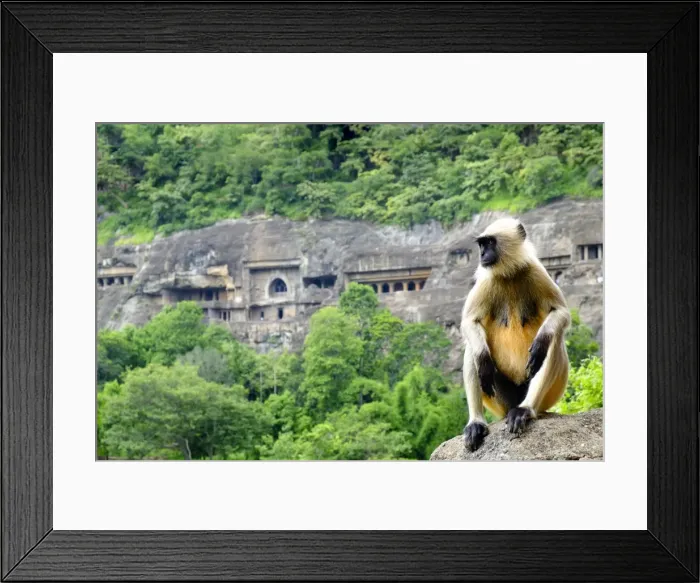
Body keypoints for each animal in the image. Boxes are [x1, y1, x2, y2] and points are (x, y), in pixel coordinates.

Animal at [460, 218, 571, 451]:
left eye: (489, 243)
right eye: (481, 244)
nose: (482, 255)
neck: (509, 274)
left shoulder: (536, 271)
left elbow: (561, 313)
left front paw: (540, 343)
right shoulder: (486, 280)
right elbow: (469, 322)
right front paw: (482, 358)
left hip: (548, 396)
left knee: (553, 342)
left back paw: (525, 409)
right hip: (500, 400)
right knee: (474, 349)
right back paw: (476, 423)